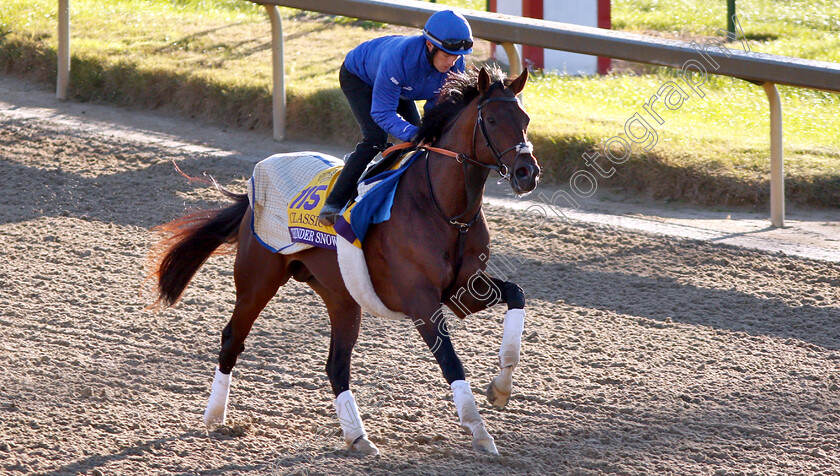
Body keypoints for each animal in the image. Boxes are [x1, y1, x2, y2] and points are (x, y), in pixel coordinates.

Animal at [150, 66, 540, 454]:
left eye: (525, 118)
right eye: (491, 119)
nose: (527, 172)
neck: (446, 210)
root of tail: (252, 189)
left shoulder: (464, 291)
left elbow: (517, 294)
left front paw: (501, 388)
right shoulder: (421, 300)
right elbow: (450, 361)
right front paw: (478, 429)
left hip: (342, 296)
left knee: (336, 365)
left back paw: (358, 436)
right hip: (257, 279)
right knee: (233, 338)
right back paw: (215, 417)